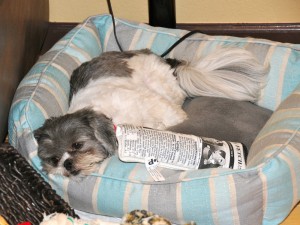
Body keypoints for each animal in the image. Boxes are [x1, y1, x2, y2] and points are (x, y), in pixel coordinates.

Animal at [34, 48, 268, 178]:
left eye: (77, 145)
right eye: (54, 159)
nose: (67, 164)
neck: (113, 119)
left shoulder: (151, 102)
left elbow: (172, 116)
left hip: (160, 83)